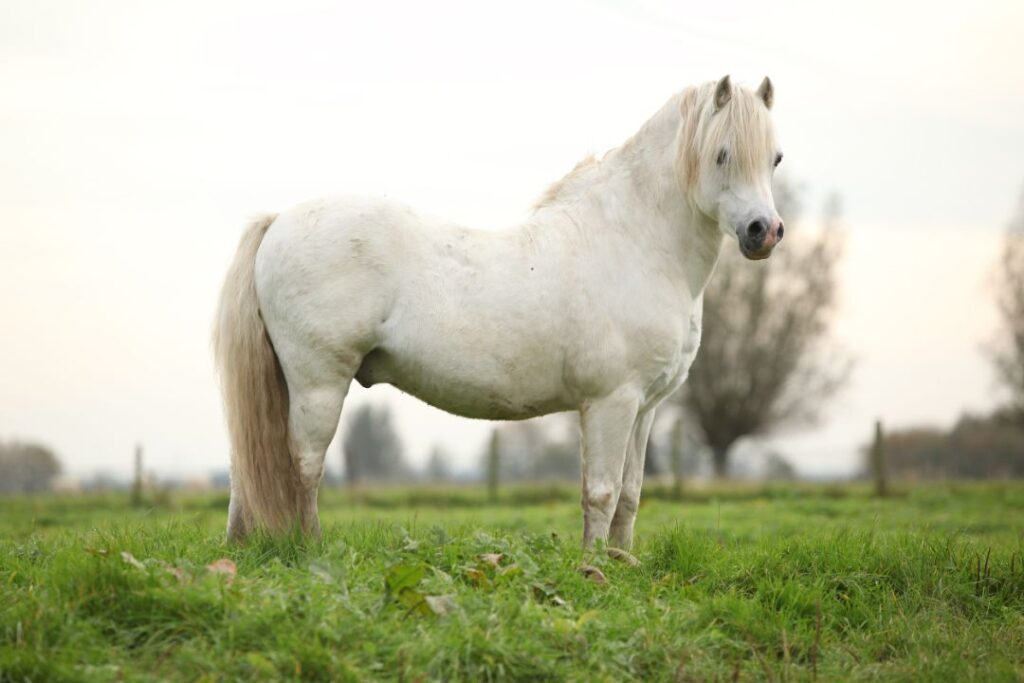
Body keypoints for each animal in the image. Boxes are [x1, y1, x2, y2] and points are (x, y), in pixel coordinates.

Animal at [214, 75, 784, 549]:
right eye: (721, 155)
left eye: (775, 158)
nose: (764, 232)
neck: (634, 243)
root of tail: (279, 220)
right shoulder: (611, 401)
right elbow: (600, 492)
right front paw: (594, 569)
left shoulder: (645, 408)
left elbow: (630, 493)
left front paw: (623, 562)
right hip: (319, 384)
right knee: (304, 466)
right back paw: (312, 549)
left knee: (247, 467)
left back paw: (243, 548)